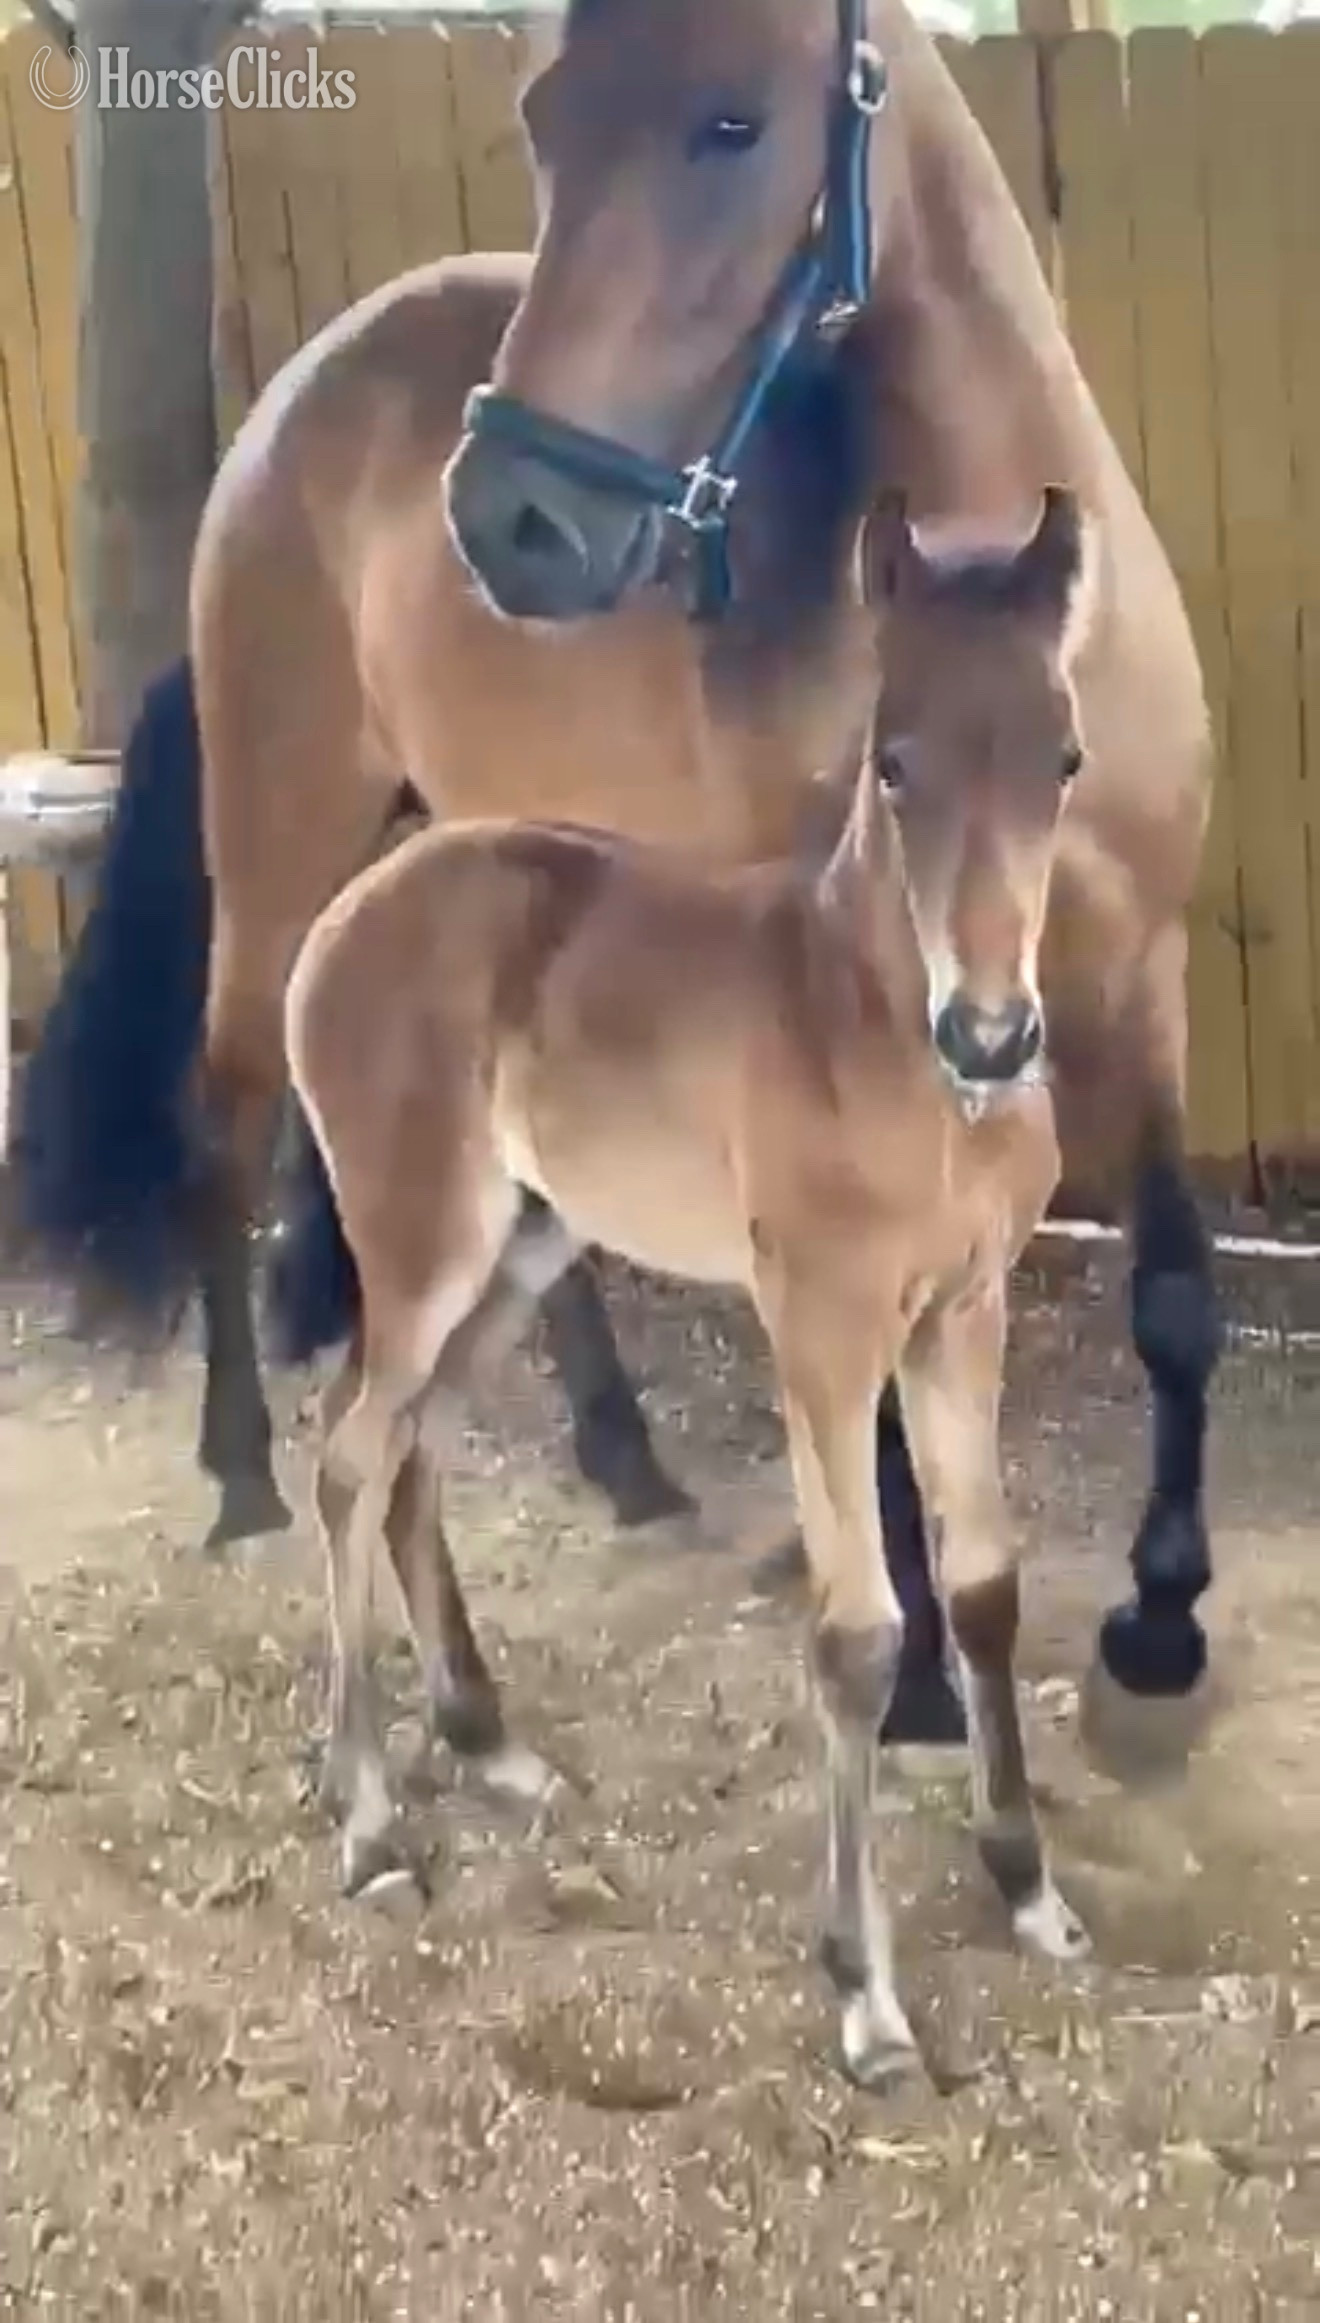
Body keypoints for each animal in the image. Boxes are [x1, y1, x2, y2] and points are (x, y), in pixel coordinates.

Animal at [16, 0, 1219, 1763]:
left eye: (731, 124)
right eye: (546, 120)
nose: (508, 519)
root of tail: (300, 389)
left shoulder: (1138, 972)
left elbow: (1179, 1295)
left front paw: (1165, 1616)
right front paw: (924, 1675)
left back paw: (619, 1451)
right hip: (281, 849)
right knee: (229, 1113)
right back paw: (240, 1467)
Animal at [275, 489, 1095, 2088]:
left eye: (1063, 757)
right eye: (893, 761)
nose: (992, 1033)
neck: (881, 1035)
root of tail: (346, 911)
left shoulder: (966, 1310)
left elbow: (980, 1585)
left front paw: (1028, 1887)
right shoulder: (823, 1325)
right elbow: (858, 1631)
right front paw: (867, 1994)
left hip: (524, 1247)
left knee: (411, 1453)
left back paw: (490, 1742)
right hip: (425, 1242)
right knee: (347, 1457)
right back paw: (372, 1823)